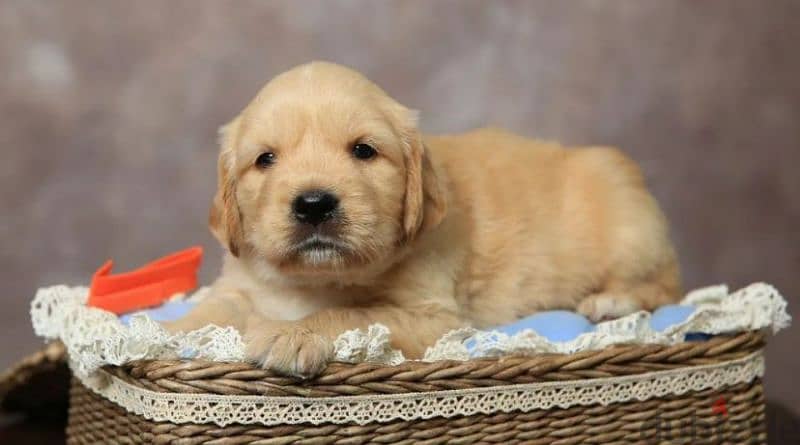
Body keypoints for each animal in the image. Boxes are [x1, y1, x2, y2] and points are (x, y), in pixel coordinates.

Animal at [166, 61, 680, 374]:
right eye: (265, 159)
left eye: (364, 151)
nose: (313, 204)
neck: (313, 279)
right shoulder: (240, 284)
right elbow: (213, 310)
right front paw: (164, 332)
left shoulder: (434, 317)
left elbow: (347, 313)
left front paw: (291, 334)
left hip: (632, 230)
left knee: (666, 286)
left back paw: (610, 301)